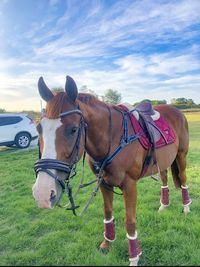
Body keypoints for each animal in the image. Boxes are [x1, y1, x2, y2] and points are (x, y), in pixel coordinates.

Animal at [32, 75, 192, 266]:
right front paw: (107, 243)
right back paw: (163, 206)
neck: (113, 138)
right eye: (39, 128)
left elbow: (129, 221)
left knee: (183, 179)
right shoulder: (104, 184)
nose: (42, 193)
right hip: (163, 161)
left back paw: (186, 208)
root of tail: (177, 111)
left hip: (181, 156)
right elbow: (108, 213)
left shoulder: (130, 185)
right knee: (164, 179)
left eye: (73, 129)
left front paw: (134, 257)